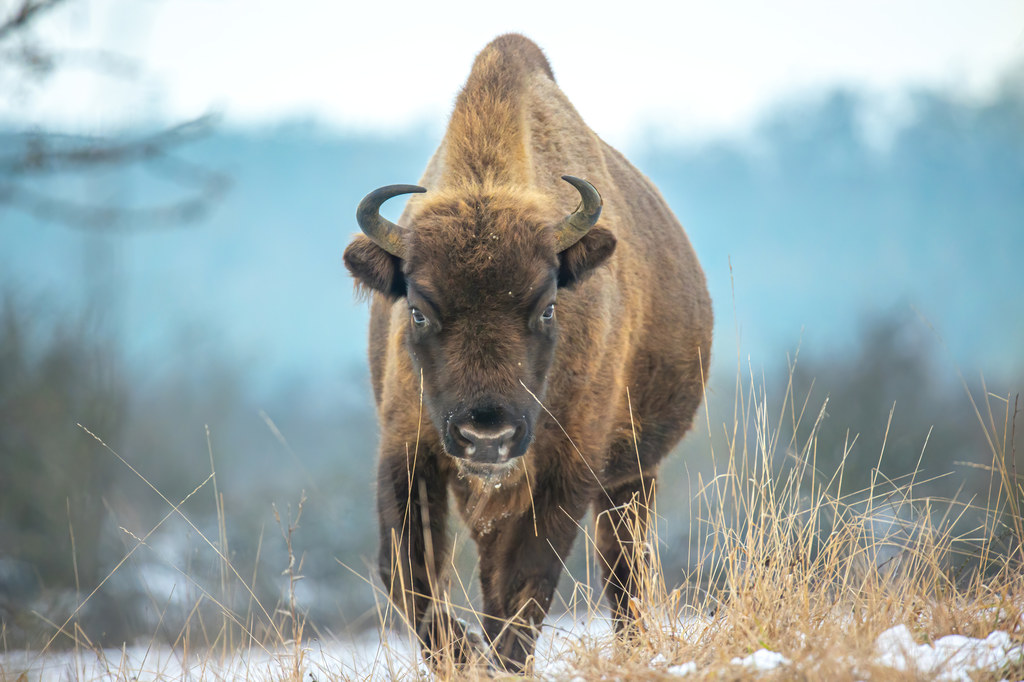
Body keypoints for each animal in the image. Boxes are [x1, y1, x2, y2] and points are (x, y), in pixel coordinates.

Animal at [344, 34, 712, 667]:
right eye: (417, 309)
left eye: (546, 307)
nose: (485, 434)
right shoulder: (409, 451)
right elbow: (406, 574)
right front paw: (464, 653)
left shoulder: (568, 468)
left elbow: (527, 585)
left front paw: (491, 658)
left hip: (633, 476)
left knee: (623, 571)